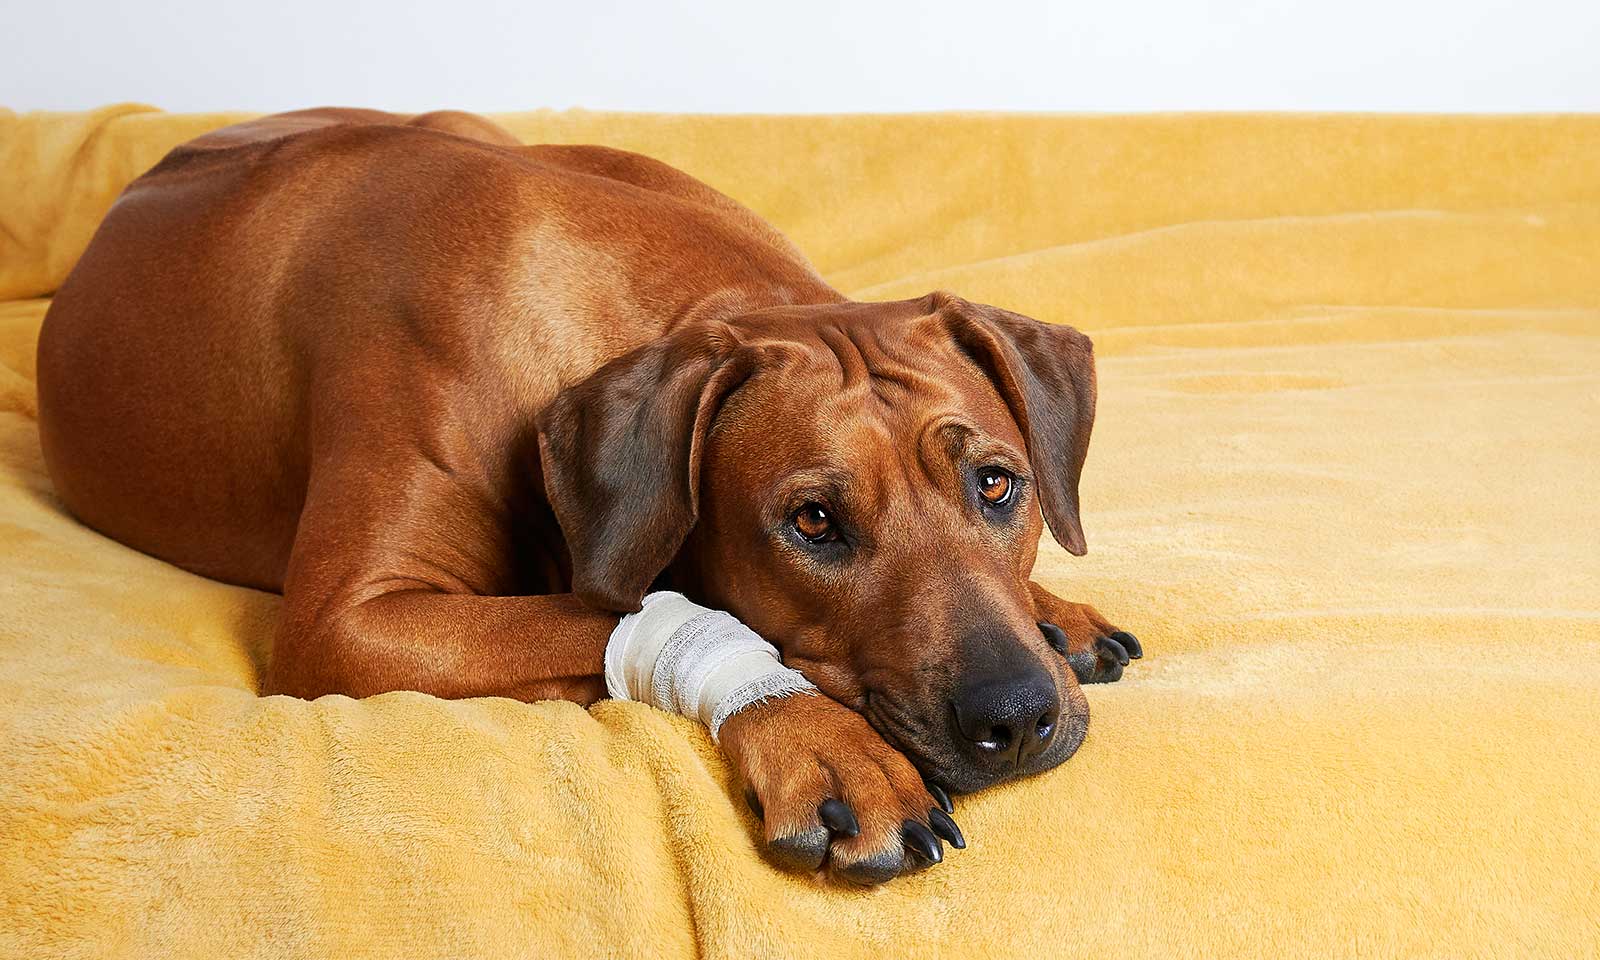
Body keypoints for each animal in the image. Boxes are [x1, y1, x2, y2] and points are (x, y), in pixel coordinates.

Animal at [34, 108, 1139, 889]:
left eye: (996, 484)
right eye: (813, 523)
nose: (1017, 717)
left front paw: (1053, 610)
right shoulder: (346, 623)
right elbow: (608, 615)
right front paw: (826, 745)